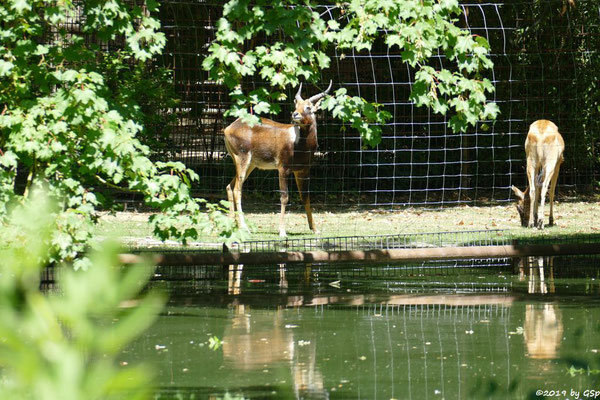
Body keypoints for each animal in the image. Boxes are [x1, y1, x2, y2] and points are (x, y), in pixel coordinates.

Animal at [223, 81, 332, 238]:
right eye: (296, 105)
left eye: (308, 107)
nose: (295, 114)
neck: (299, 143)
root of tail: (229, 127)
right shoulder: (283, 169)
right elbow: (284, 197)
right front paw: (282, 231)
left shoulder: (303, 170)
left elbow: (305, 196)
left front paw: (315, 229)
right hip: (242, 160)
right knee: (237, 189)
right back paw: (244, 227)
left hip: (250, 165)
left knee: (229, 186)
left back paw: (232, 224)